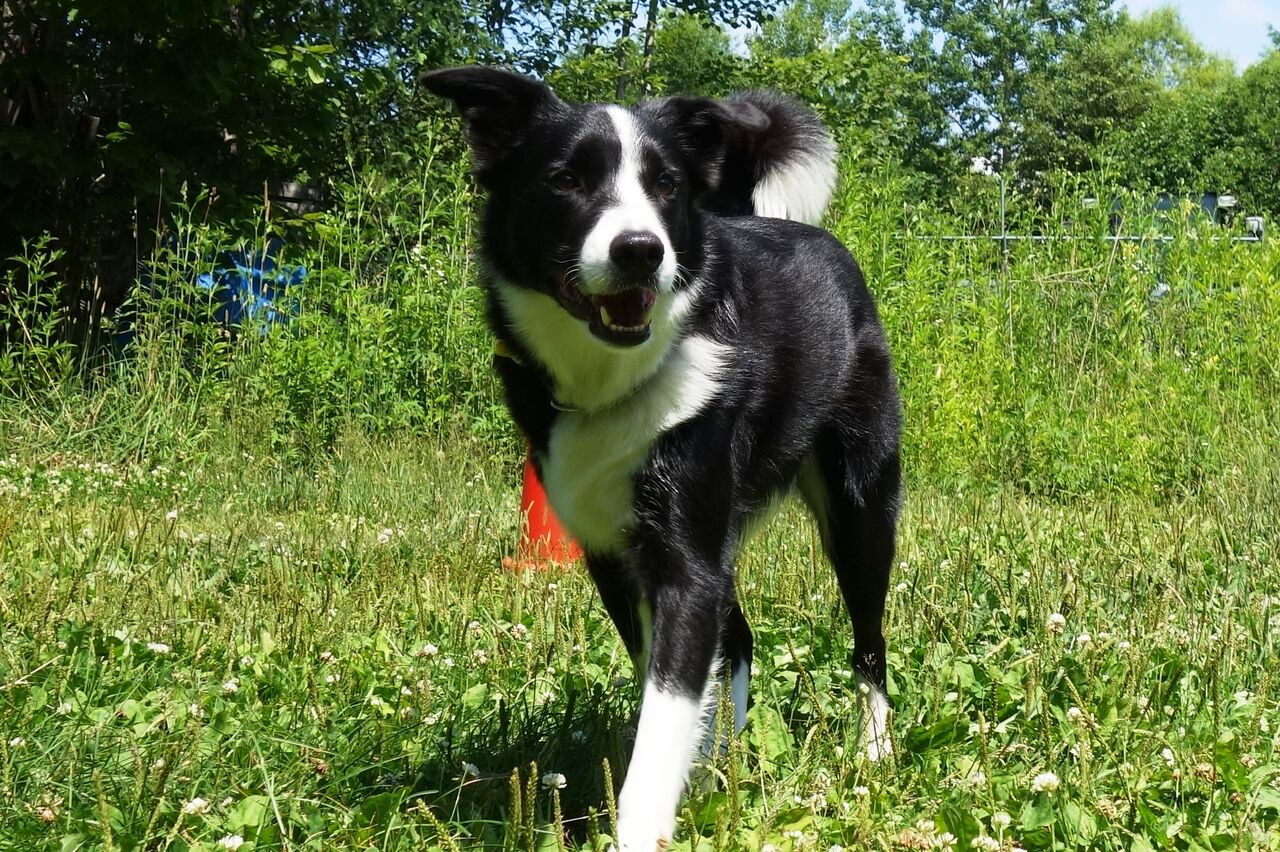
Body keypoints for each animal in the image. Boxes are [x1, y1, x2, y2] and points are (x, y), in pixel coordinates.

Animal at [422, 67, 901, 850]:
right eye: (566, 179)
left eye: (666, 184)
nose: (641, 249)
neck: (615, 380)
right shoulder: (618, 558)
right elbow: (667, 692)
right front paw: (684, 779)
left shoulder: (686, 560)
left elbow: (663, 714)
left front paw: (644, 821)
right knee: (739, 640)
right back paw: (716, 773)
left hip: (860, 505)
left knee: (868, 639)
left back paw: (875, 752)